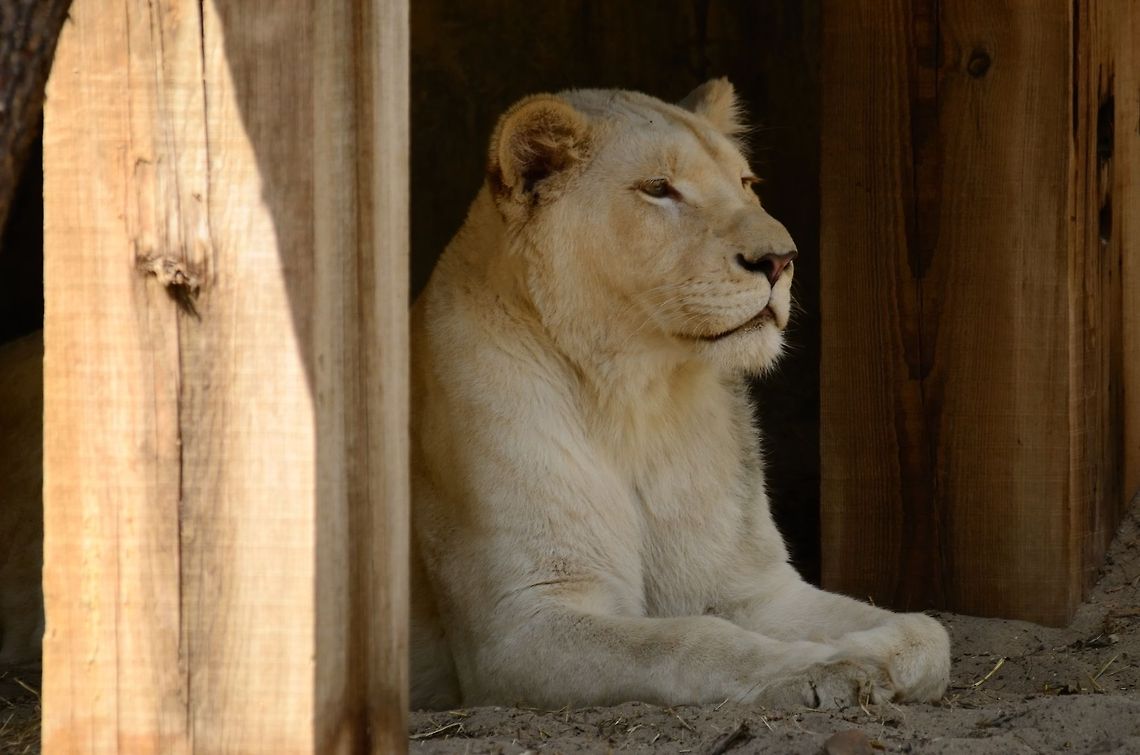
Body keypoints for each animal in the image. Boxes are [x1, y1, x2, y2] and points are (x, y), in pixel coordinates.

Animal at [410, 79, 950, 711]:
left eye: (745, 182)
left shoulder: (753, 588)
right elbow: (689, 639)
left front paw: (869, 652)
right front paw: (822, 670)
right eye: (658, 189)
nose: (781, 259)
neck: (636, 402)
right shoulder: (518, 626)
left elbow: (926, 630)